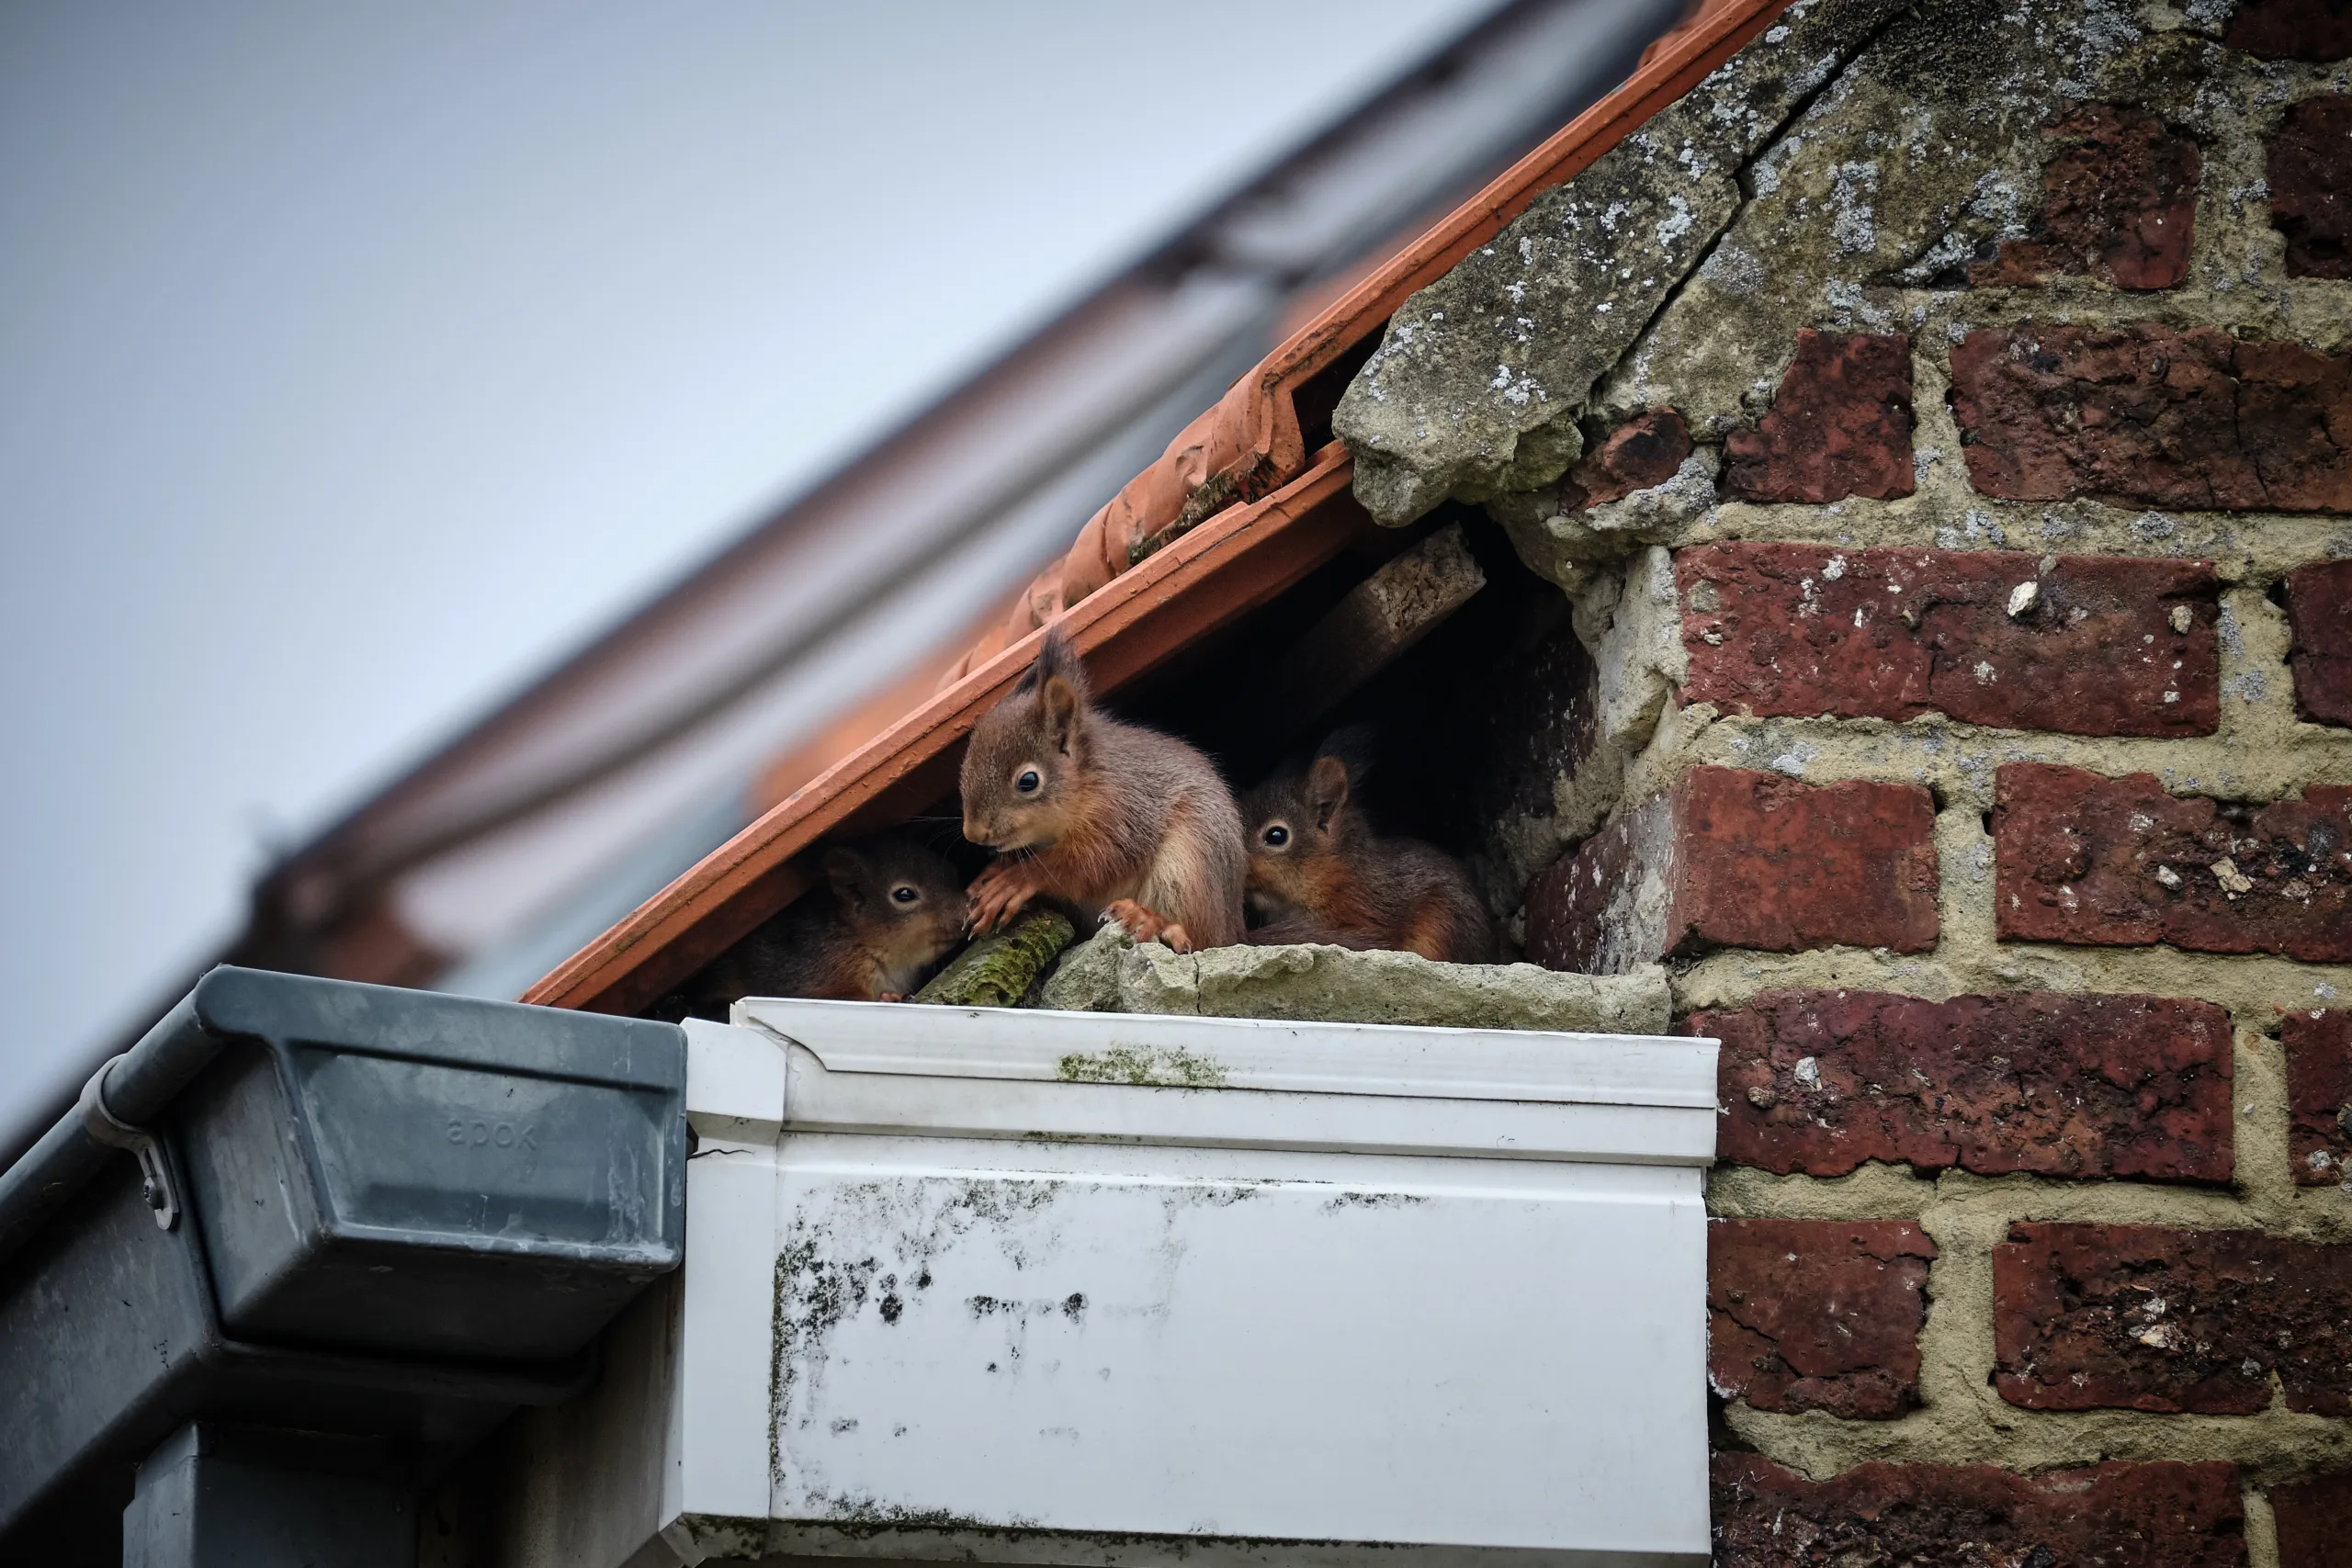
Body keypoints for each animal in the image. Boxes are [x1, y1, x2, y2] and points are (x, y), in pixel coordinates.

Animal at [960, 626, 1245, 953]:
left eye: (1028, 781)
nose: (973, 833)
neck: (1087, 781)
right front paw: (989, 874)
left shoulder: (1122, 810)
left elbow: (1091, 862)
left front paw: (1014, 880)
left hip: (1189, 864)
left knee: (1199, 938)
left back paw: (1149, 919)